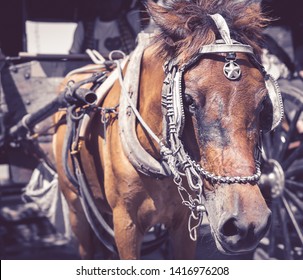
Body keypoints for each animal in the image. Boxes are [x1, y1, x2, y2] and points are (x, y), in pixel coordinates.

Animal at [53, 0, 284, 260]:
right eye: (188, 99)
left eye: (263, 103)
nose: (247, 225)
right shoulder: (125, 224)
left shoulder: (184, 224)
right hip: (75, 207)